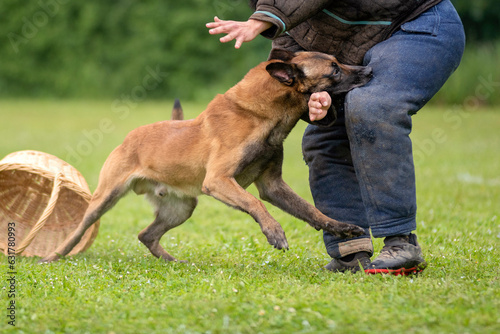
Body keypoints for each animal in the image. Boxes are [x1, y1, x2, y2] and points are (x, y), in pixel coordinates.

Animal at [41, 49, 372, 264]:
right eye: (334, 68)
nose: (369, 70)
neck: (259, 115)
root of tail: (130, 137)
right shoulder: (218, 180)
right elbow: (255, 204)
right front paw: (274, 232)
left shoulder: (273, 185)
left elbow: (310, 211)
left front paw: (340, 227)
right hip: (105, 198)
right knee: (80, 230)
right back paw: (52, 256)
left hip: (181, 209)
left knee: (146, 235)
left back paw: (171, 261)